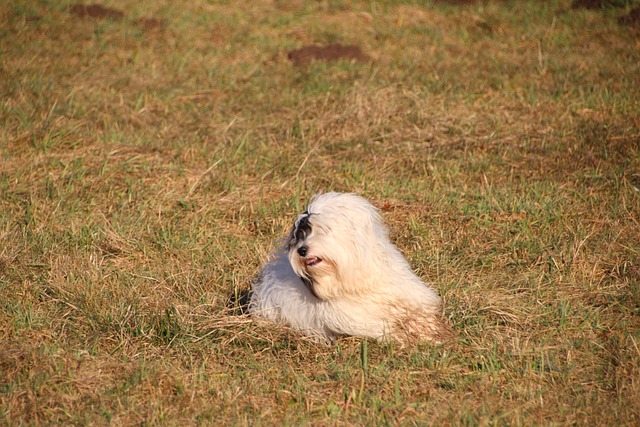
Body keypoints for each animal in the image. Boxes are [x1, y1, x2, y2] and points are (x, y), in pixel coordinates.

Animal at [249, 193, 450, 344]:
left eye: (323, 230)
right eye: (301, 235)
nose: (301, 250)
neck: (351, 282)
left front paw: (431, 330)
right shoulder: (354, 319)